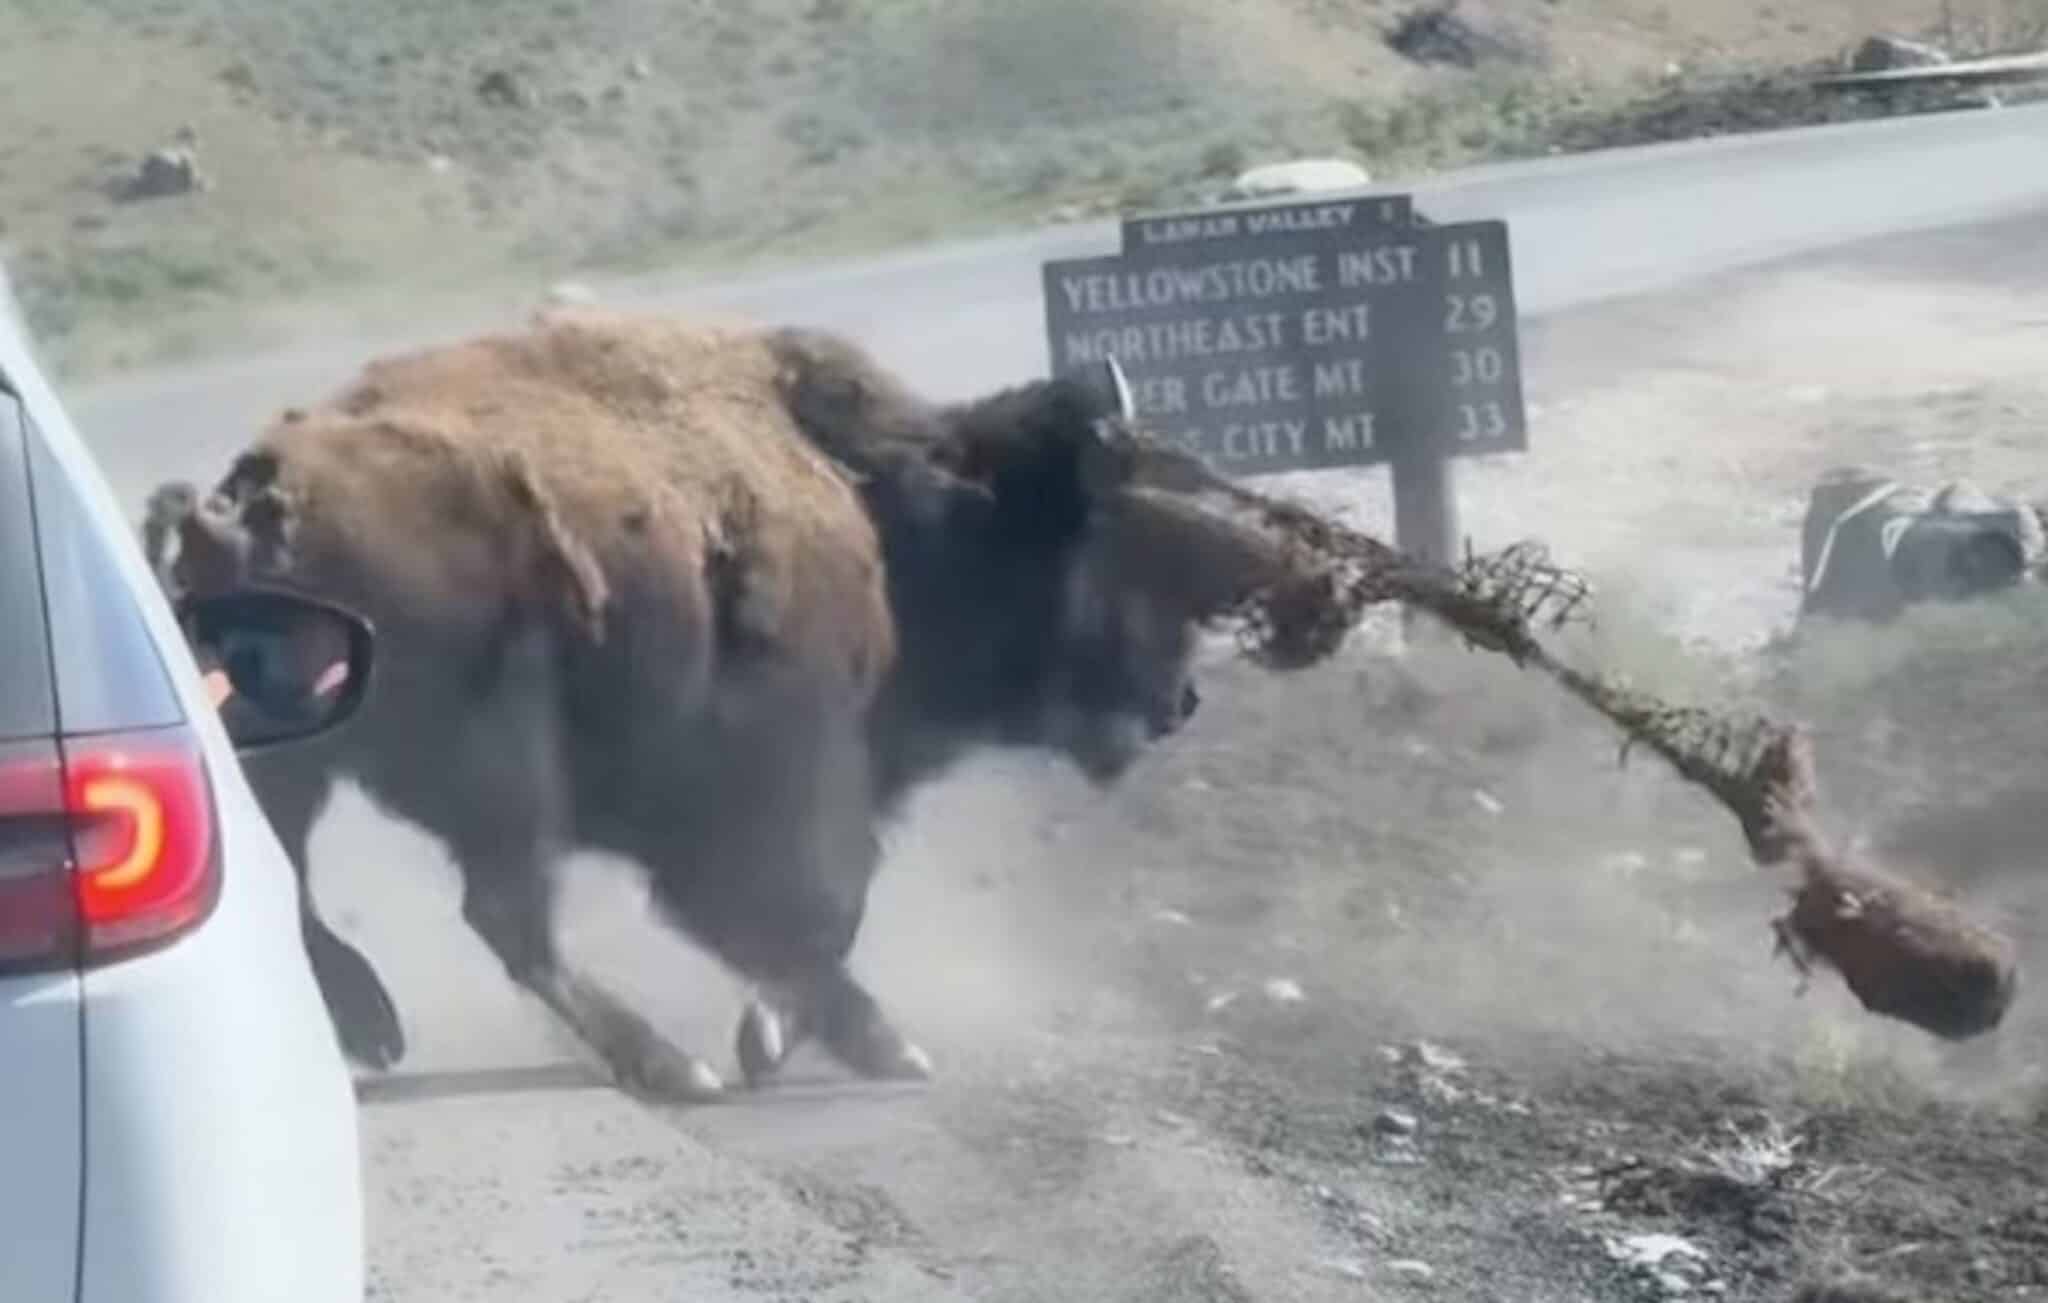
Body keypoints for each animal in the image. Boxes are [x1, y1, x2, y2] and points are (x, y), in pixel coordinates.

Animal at [145, 308, 1317, 1101]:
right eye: (1107, 540)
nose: (1180, 697)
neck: (888, 502)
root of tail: (245, 504)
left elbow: (806, 916)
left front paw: (797, 1031)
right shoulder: (799, 777)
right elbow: (814, 906)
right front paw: (852, 1043)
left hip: (295, 759)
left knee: (318, 886)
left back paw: (380, 1028)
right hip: (497, 769)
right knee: (505, 916)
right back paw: (669, 1064)